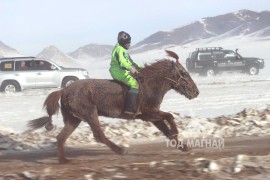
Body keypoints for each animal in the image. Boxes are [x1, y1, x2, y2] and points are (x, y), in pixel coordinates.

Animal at [28, 50, 199, 164]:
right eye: (184, 73)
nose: (196, 92)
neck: (150, 85)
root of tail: (64, 90)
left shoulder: (152, 116)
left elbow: (166, 130)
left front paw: (183, 147)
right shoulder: (149, 113)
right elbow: (170, 116)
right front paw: (177, 134)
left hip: (73, 119)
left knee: (61, 137)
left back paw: (64, 160)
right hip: (90, 114)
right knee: (98, 135)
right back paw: (121, 150)